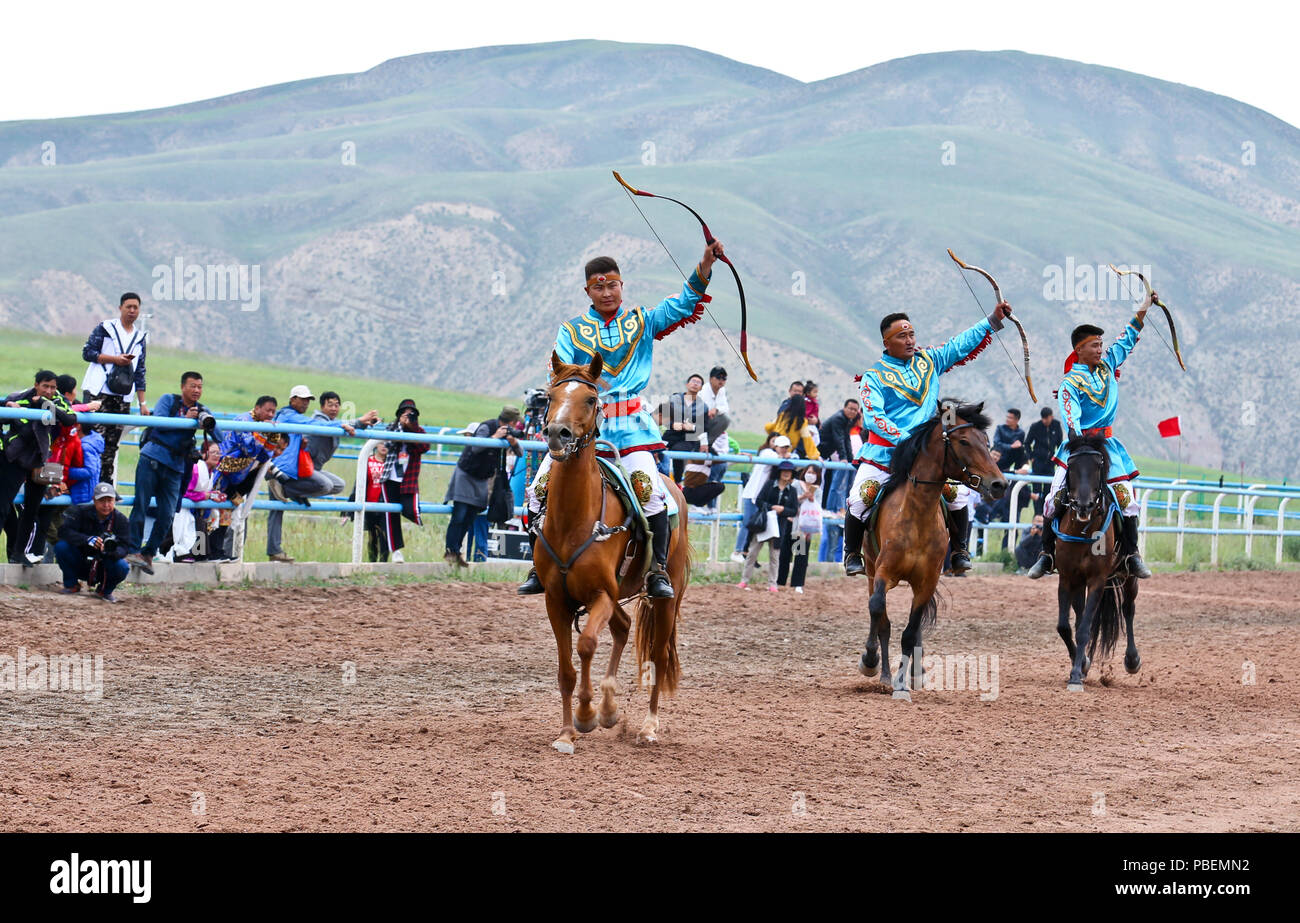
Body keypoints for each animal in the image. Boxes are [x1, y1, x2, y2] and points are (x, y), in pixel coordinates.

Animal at [533, 353, 691, 754]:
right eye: (550, 397)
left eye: (590, 399)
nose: (558, 433)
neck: (574, 519)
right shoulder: (557, 600)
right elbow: (566, 669)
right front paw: (567, 732)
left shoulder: (601, 594)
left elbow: (587, 644)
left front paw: (586, 715)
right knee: (622, 627)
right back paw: (609, 709)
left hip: (666, 599)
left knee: (658, 655)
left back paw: (648, 727)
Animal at [857, 403, 1008, 702]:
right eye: (964, 441)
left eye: (986, 442)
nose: (999, 485)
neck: (917, 515)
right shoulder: (883, 573)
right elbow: (879, 613)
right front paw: (870, 662)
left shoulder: (927, 581)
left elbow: (911, 631)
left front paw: (903, 683)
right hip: (869, 569)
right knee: (881, 620)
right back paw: (884, 674)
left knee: (913, 630)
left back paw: (915, 673)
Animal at [1055, 436, 1138, 691]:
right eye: (1072, 467)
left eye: (1098, 467)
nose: (1084, 505)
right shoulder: (1067, 578)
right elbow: (1065, 626)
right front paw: (1081, 664)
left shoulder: (1097, 580)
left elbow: (1084, 630)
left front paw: (1075, 676)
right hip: (1079, 582)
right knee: (1081, 612)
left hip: (1128, 577)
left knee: (1128, 609)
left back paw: (1132, 659)